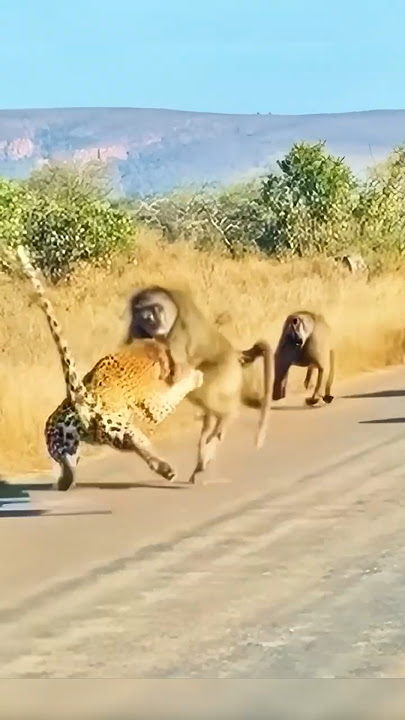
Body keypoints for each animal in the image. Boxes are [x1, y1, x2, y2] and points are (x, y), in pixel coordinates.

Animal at [125, 285, 273, 484]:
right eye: (141, 311)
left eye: (154, 309)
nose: (149, 321)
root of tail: (235, 353)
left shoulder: (179, 335)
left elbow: (176, 374)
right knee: (207, 410)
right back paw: (203, 455)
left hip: (225, 371)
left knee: (209, 394)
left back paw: (227, 419)